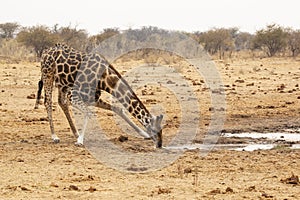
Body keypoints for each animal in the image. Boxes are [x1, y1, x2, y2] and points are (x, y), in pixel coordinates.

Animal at [34, 43, 164, 148]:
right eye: (154, 130)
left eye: (161, 130)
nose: (159, 144)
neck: (105, 79)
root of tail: (45, 51)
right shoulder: (74, 95)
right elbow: (88, 112)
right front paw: (80, 141)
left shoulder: (93, 97)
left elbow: (118, 109)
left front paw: (143, 134)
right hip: (48, 75)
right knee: (48, 102)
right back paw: (55, 136)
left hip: (62, 83)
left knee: (61, 102)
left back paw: (75, 133)